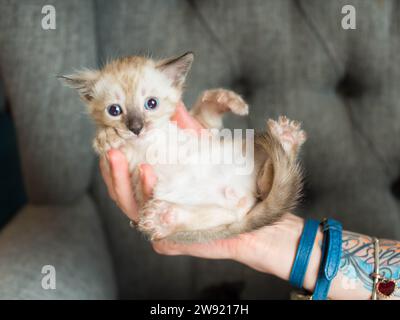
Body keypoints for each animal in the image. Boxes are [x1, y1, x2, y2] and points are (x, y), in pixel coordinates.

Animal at [60, 52, 306, 242]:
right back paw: (164, 218)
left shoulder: (203, 128)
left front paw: (224, 98)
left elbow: (205, 109)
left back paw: (285, 138)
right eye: (114, 110)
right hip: (209, 211)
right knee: (223, 214)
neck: (149, 141)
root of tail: (240, 197)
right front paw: (106, 137)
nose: (136, 128)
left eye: (151, 103)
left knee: (264, 185)